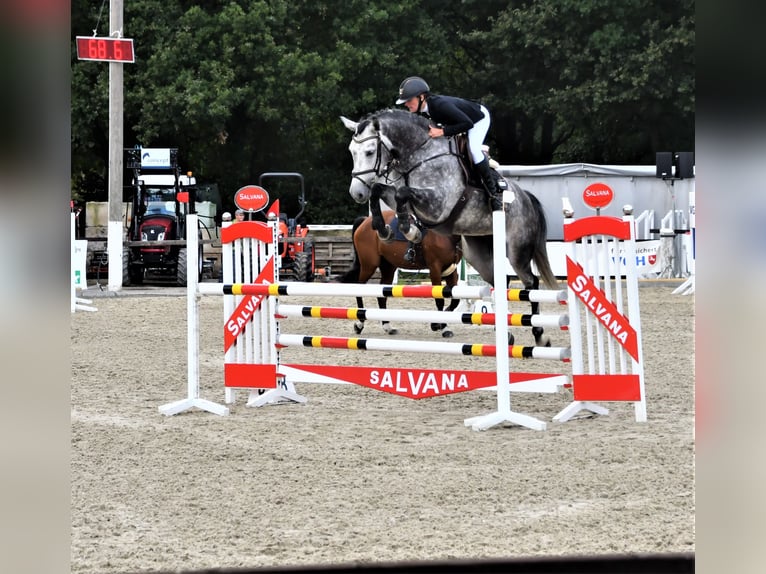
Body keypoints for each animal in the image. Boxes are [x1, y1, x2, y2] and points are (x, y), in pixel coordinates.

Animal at [342, 110, 560, 348]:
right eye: (352, 152)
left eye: (370, 152)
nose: (356, 193)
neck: (420, 154)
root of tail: (526, 198)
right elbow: (381, 190)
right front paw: (385, 230)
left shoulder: (438, 206)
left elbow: (402, 194)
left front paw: (410, 231)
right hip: (475, 254)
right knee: (499, 282)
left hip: (516, 251)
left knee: (531, 282)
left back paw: (539, 333)